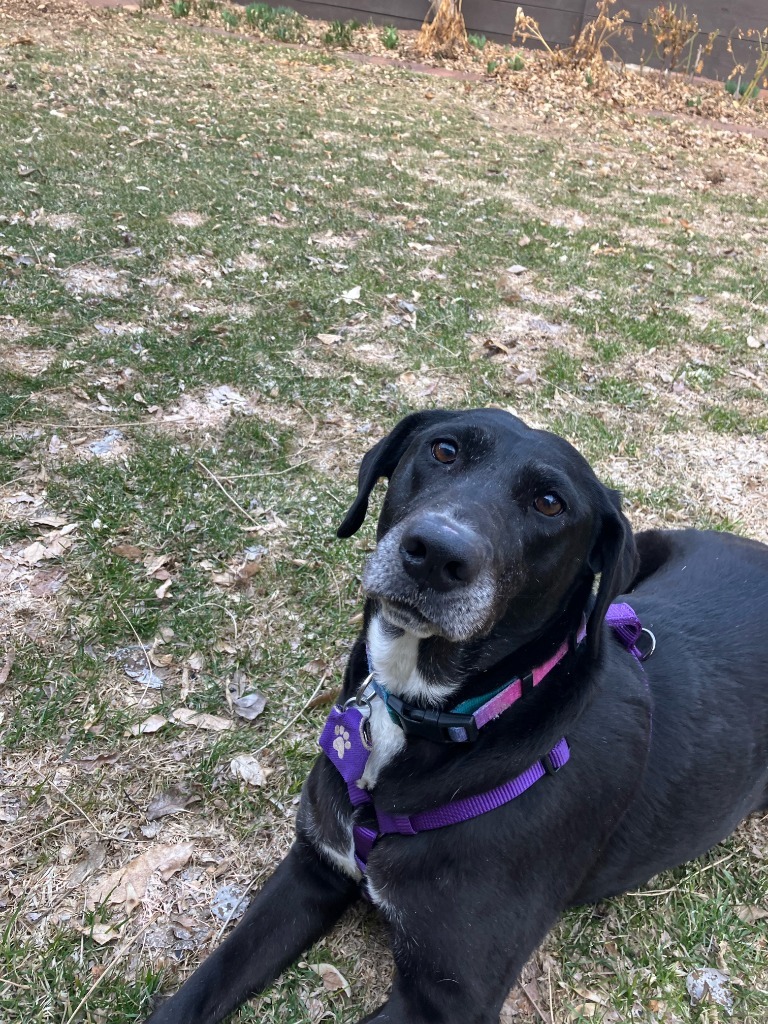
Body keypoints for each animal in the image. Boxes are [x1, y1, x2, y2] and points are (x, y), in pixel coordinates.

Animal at [145, 407, 768, 1024]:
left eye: (550, 503)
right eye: (444, 450)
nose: (436, 553)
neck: (428, 710)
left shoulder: (446, 999)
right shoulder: (315, 866)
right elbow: (203, 986)